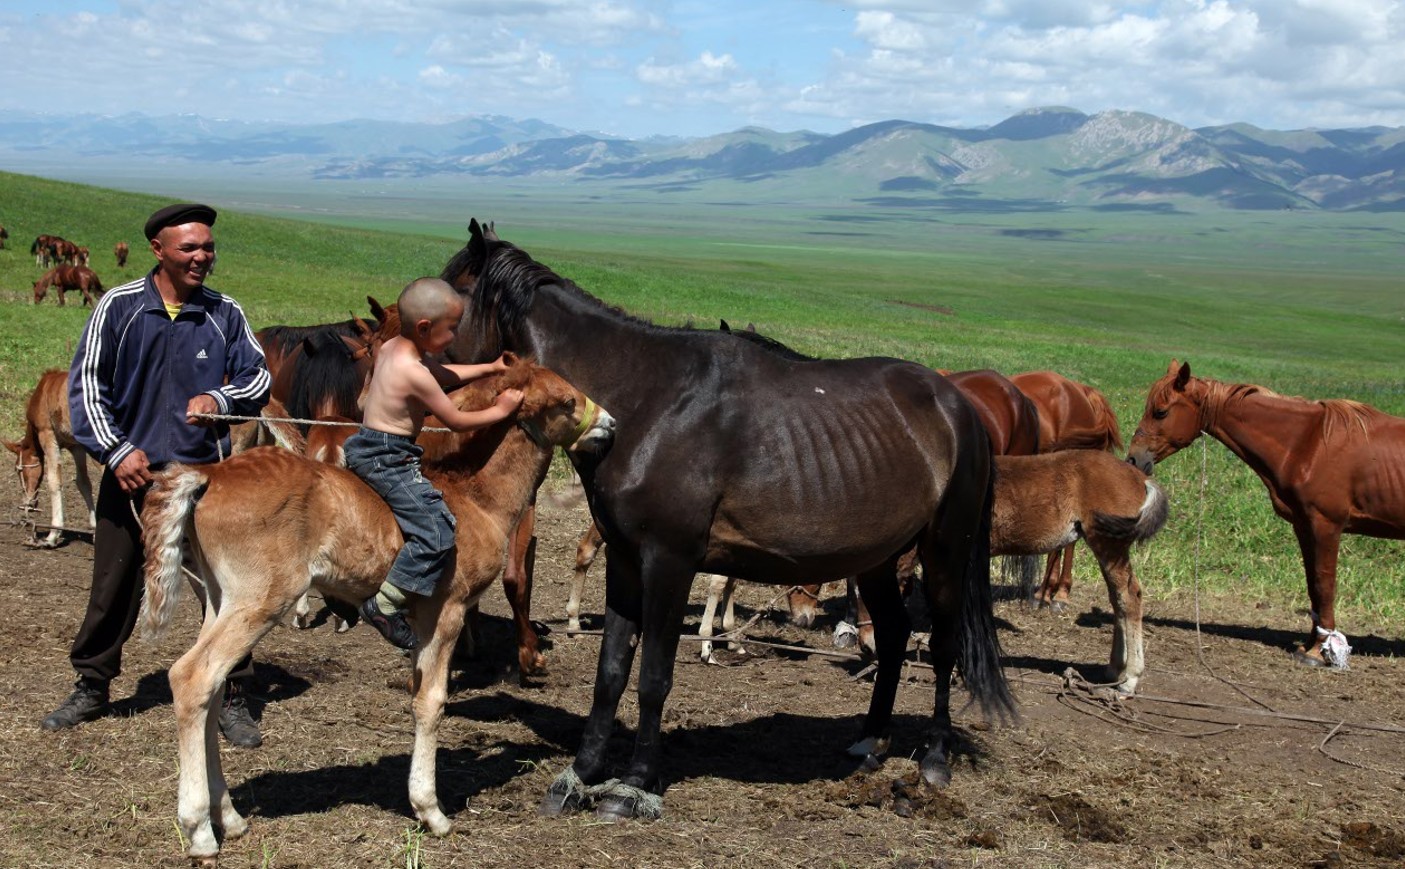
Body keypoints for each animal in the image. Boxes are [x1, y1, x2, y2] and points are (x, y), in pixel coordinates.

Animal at [4, 370, 96, 547]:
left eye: (18, 470)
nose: (28, 503)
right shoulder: (76, 446)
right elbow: (83, 483)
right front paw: (95, 528)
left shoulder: (47, 434)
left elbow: (54, 481)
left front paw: (53, 534)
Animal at [438, 219, 1011, 825]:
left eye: (446, 299)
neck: (646, 402)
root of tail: (958, 404)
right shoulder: (625, 560)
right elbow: (610, 671)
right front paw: (581, 774)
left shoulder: (669, 561)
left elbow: (653, 676)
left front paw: (633, 785)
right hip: (878, 559)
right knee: (897, 634)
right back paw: (870, 744)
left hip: (945, 550)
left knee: (945, 645)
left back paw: (935, 758)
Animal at [1124, 359, 1405, 665]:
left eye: (1161, 412)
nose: (1133, 459)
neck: (1310, 443)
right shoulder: (1304, 526)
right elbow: (1313, 587)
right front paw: (1309, 645)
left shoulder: (1326, 526)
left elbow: (1324, 585)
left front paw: (1320, 649)